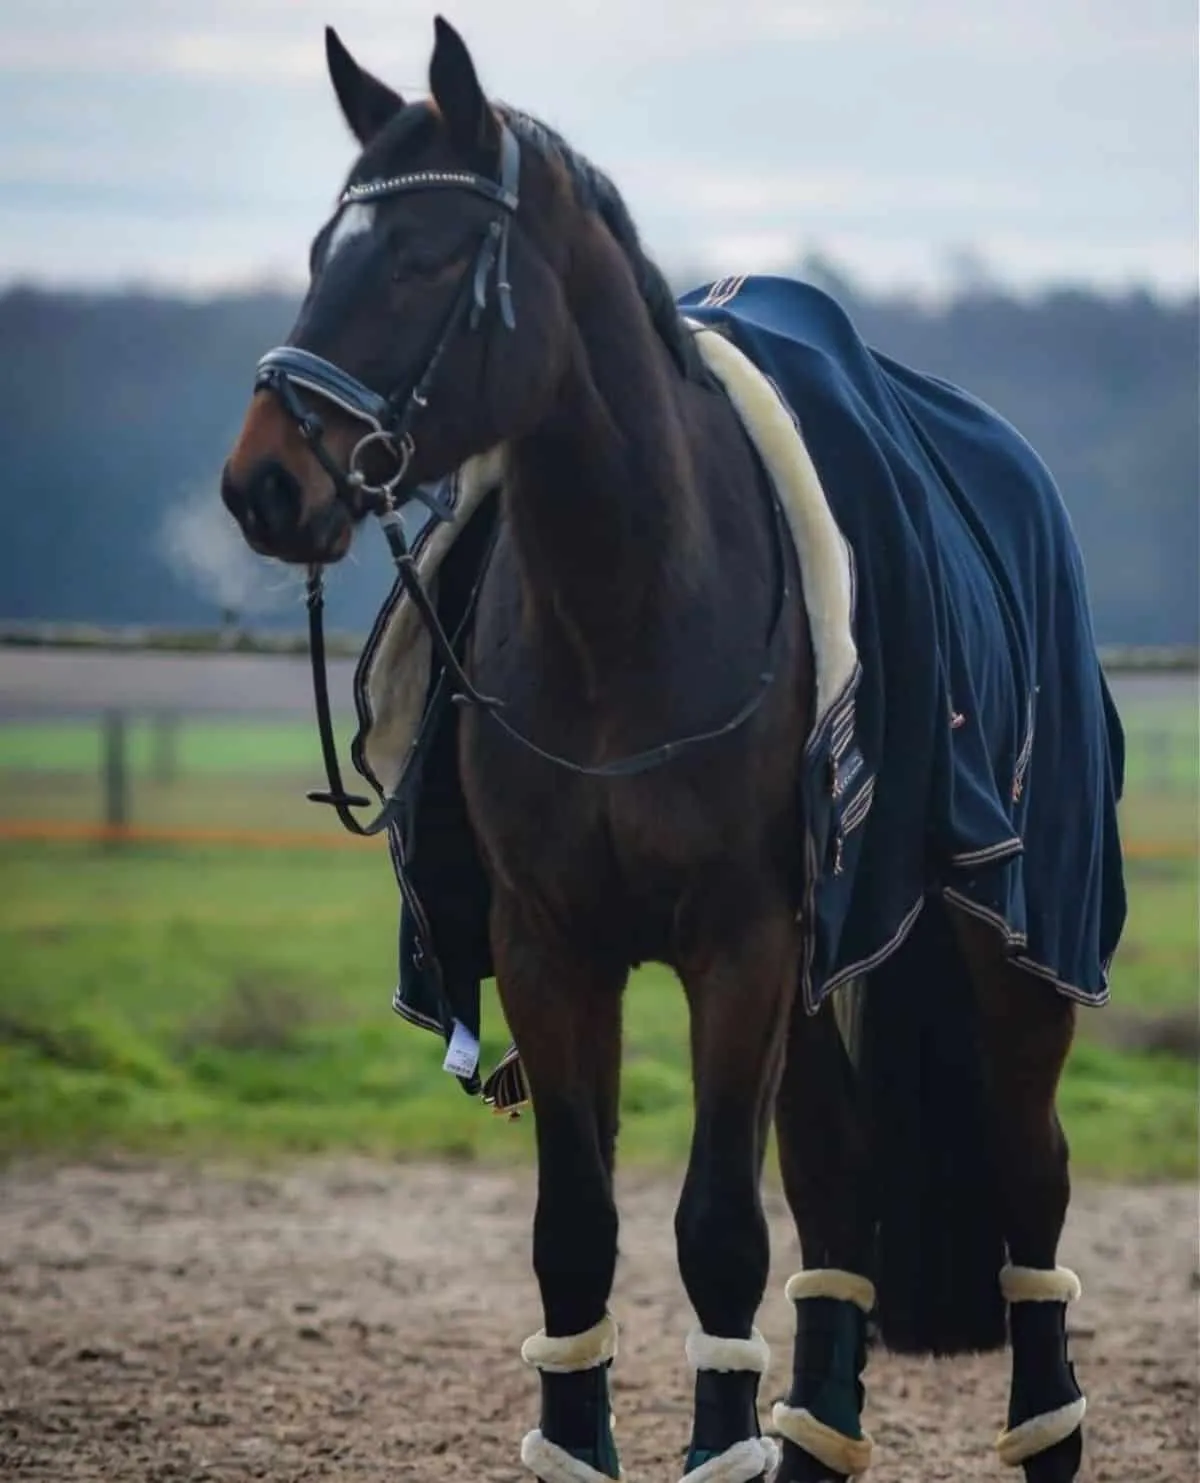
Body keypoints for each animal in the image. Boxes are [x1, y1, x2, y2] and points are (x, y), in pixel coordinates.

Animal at [218, 18, 1126, 1483]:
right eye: (317, 253)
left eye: (422, 257)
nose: (264, 484)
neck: (628, 610)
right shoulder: (550, 948)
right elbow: (578, 1228)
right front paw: (585, 1440)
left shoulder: (739, 944)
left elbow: (717, 1226)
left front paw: (718, 1442)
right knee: (839, 1181)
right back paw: (814, 1435)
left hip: (1015, 949)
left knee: (1031, 1182)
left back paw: (1042, 1430)